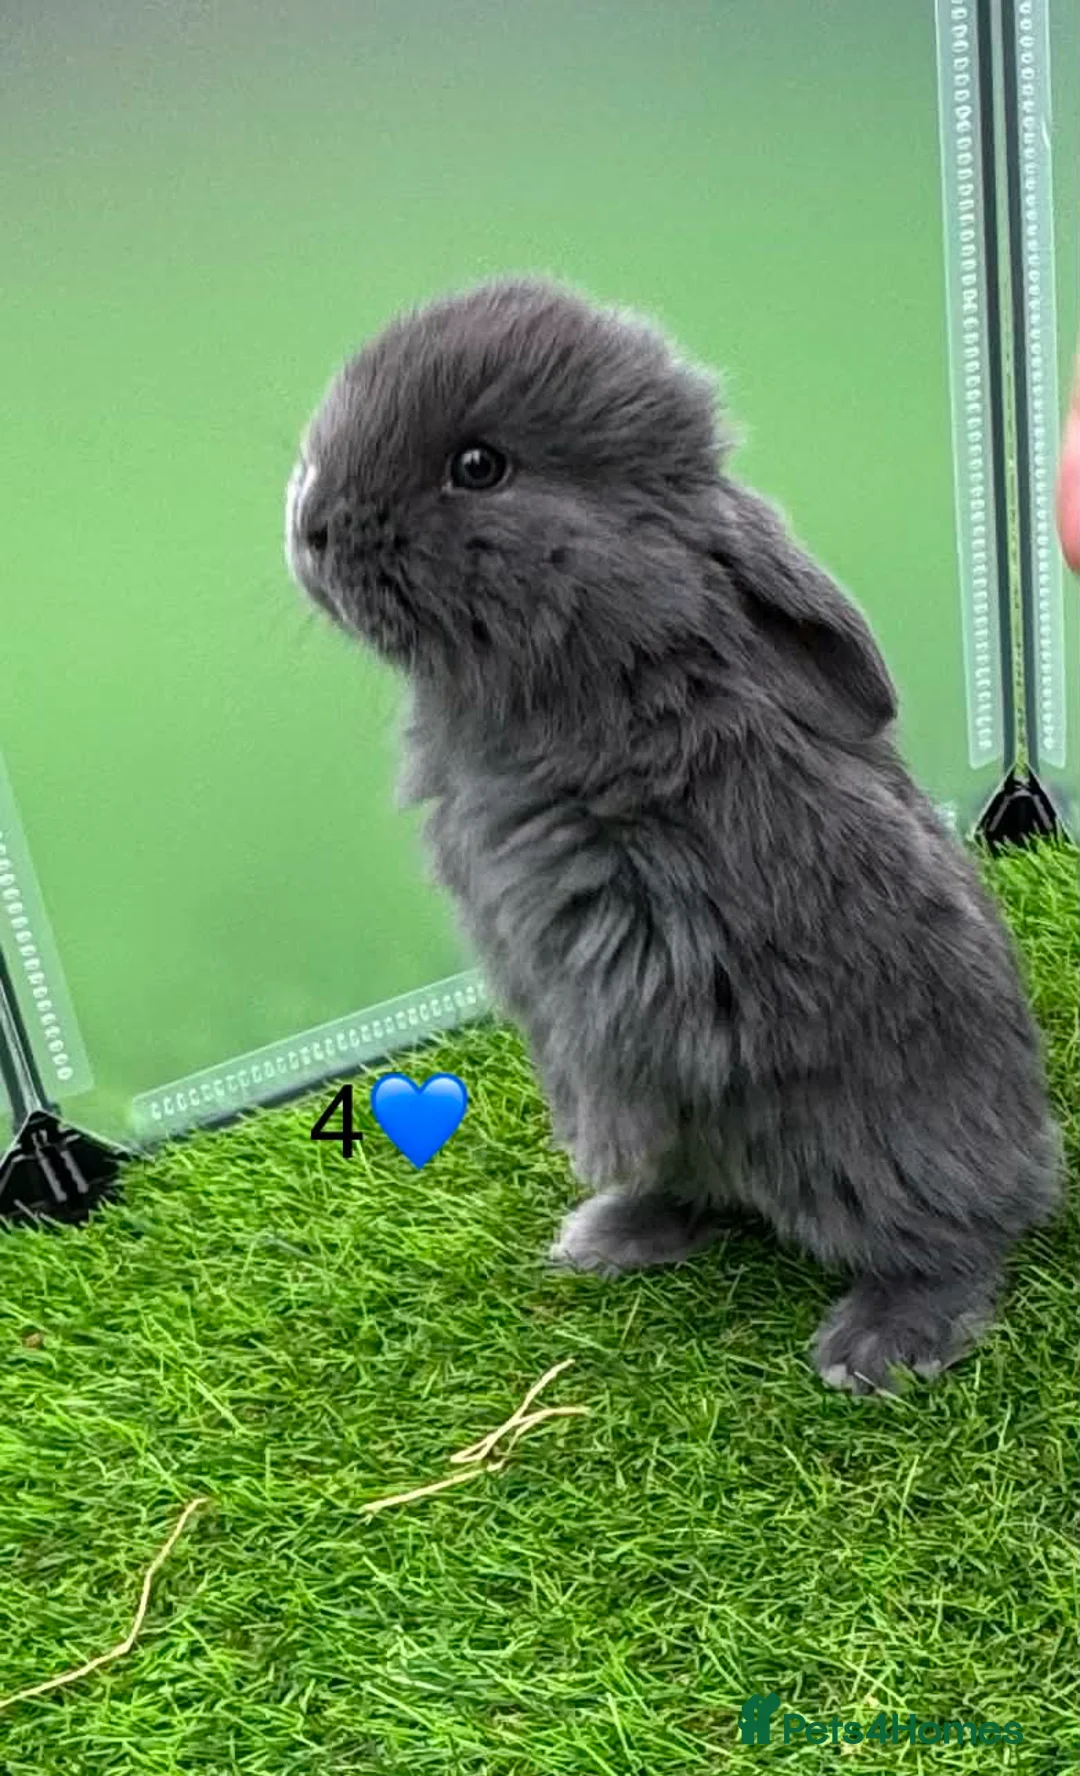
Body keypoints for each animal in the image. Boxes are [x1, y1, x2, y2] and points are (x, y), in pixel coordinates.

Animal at [284, 276, 1062, 1393]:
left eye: (479, 466)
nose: (308, 526)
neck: (604, 682)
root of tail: (1030, 1150)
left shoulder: (642, 943)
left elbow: (628, 1053)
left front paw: (593, 1145)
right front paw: (593, 1164)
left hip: (888, 1146)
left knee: (960, 1239)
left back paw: (879, 1344)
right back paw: (610, 1232)